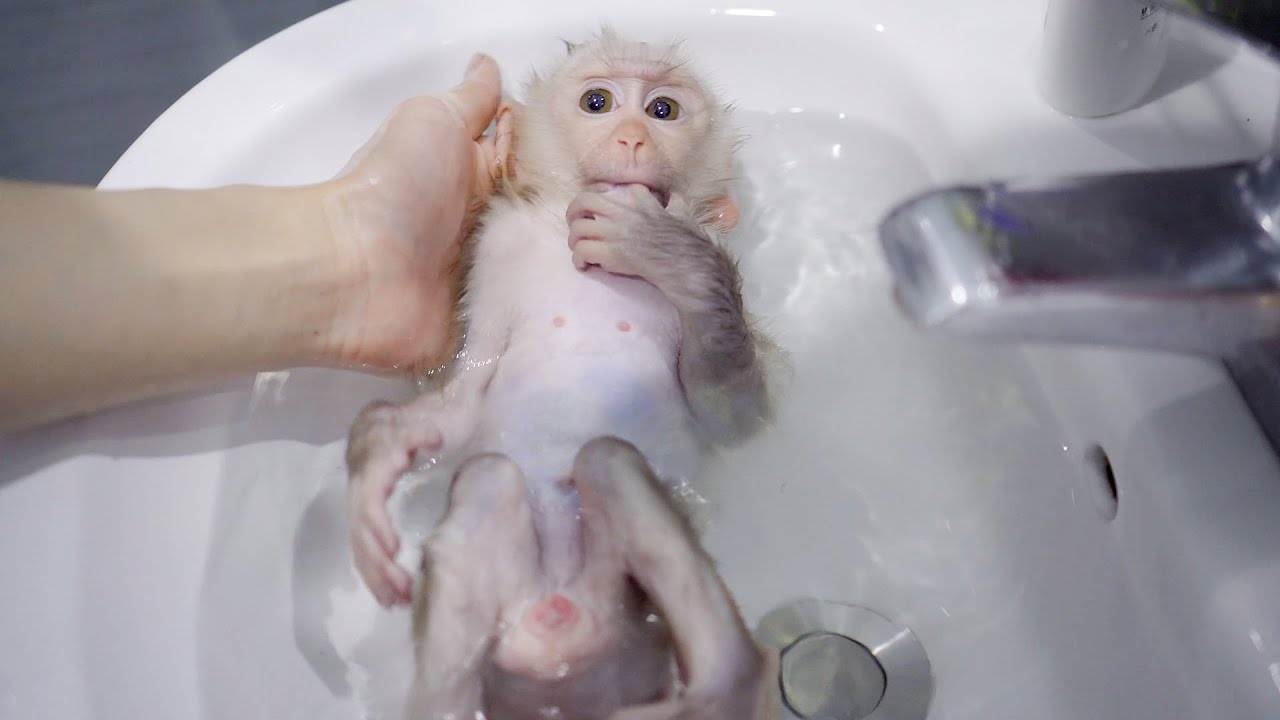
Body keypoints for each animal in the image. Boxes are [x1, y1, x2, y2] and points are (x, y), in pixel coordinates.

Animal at [344, 28, 782, 719]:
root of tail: (559, 625)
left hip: (634, 616)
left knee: (608, 459)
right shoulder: (495, 250)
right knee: (487, 481)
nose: (632, 137)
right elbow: (464, 394)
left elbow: (734, 420)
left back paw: (731, 681)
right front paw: (380, 455)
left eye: (663, 110)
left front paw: (670, 254)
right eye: (597, 101)